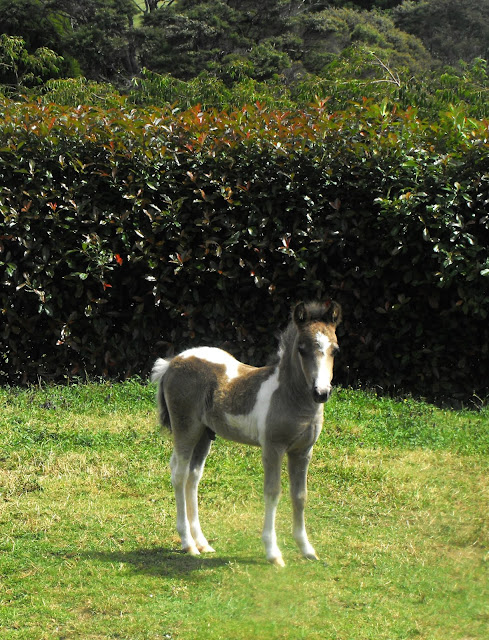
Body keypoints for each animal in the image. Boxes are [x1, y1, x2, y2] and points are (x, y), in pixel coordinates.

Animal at [151, 300, 342, 564]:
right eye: (302, 349)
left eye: (335, 350)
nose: (321, 392)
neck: (289, 396)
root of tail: (172, 363)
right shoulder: (273, 448)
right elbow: (272, 492)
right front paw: (273, 553)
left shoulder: (303, 451)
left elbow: (300, 495)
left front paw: (307, 549)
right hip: (186, 429)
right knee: (179, 475)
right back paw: (188, 544)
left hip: (204, 435)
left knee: (192, 477)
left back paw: (202, 543)